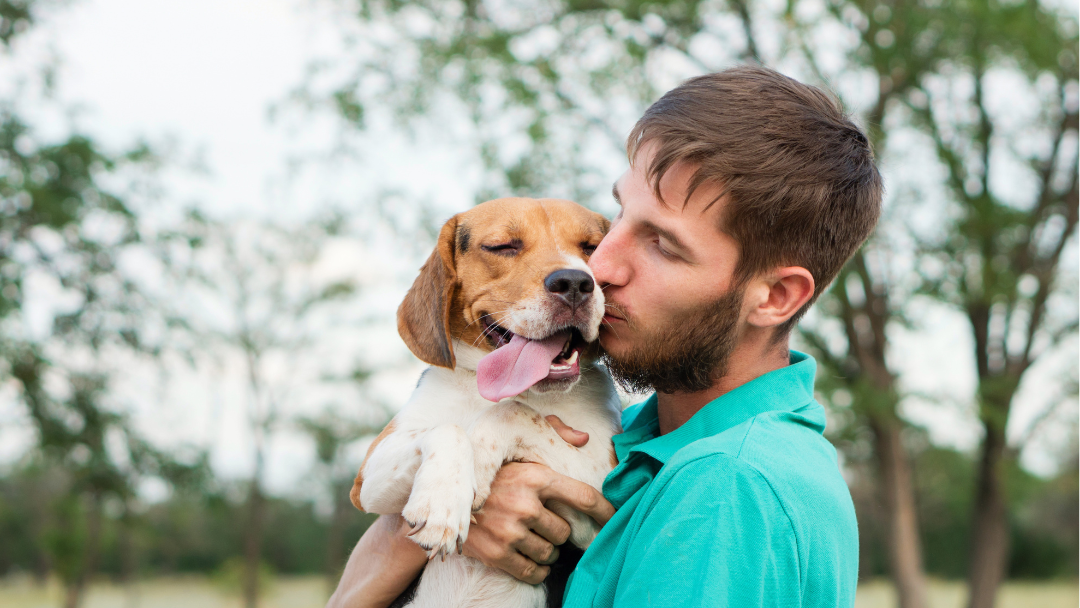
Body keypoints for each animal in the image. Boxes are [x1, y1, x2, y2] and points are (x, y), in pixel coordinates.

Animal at [349, 197, 622, 604]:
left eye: (591, 247)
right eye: (503, 246)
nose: (574, 283)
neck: (514, 389)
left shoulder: (601, 497)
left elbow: (512, 413)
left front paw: (477, 463)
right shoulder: (368, 478)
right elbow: (448, 428)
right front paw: (442, 504)